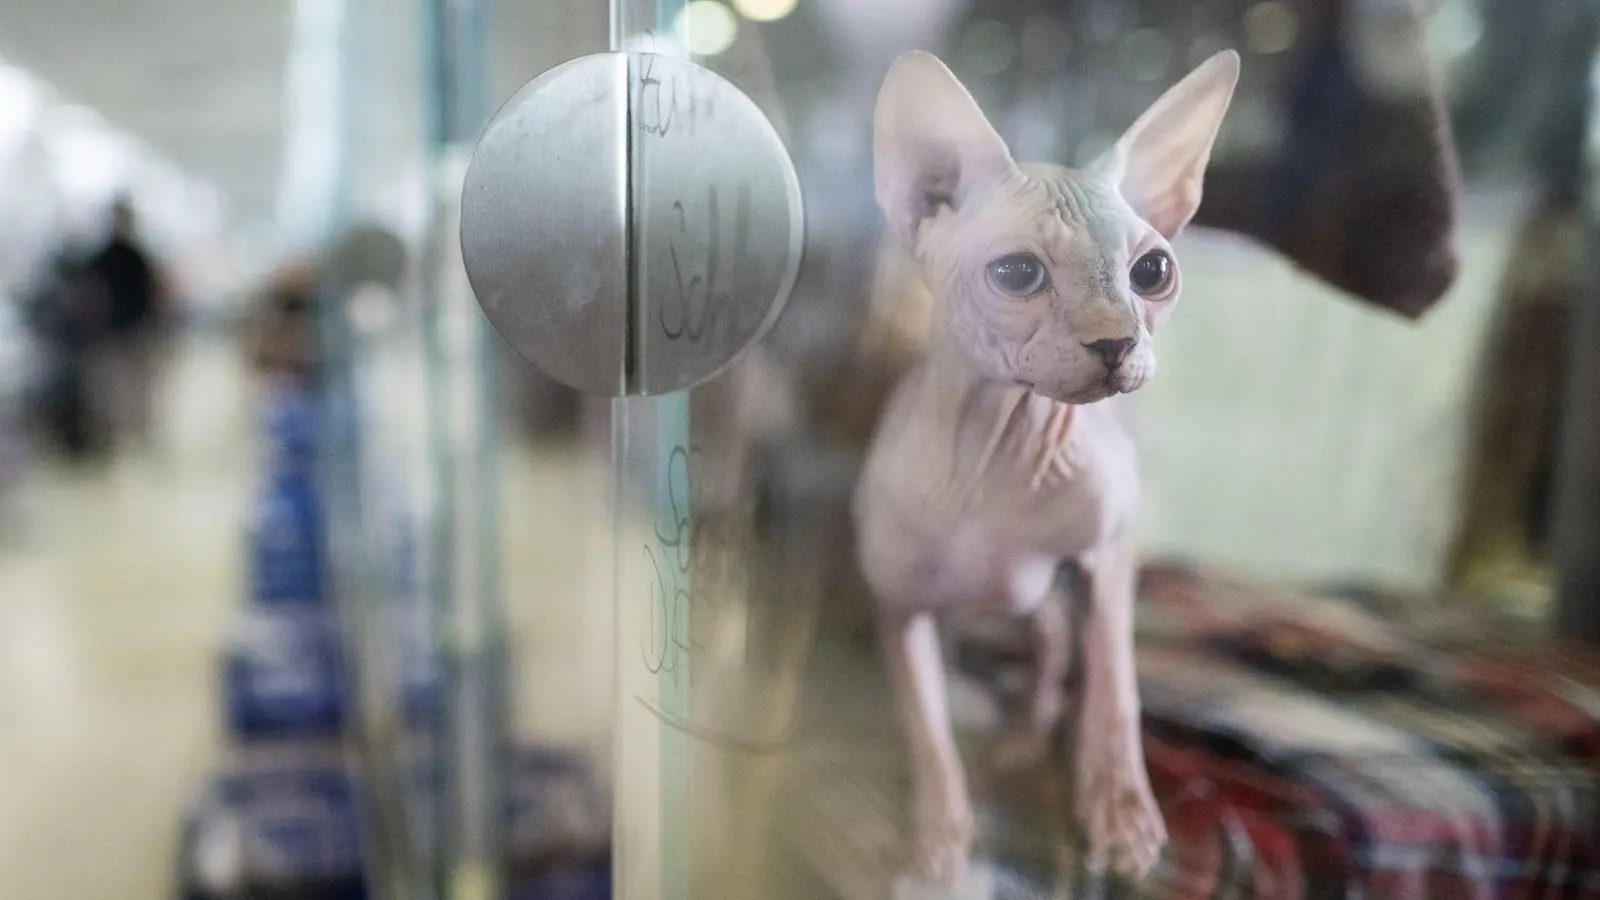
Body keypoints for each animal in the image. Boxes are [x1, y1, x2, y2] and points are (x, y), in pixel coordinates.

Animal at [851, 45, 1235, 877]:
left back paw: (1038, 741)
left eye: (1152, 272)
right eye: (1016, 273)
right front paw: (938, 838)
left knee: (1062, 646)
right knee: (1042, 639)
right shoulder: (901, 607)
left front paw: (1119, 812)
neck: (1004, 452)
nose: (1115, 341)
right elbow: (927, 730)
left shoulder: (1106, 558)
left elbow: (1114, 692)